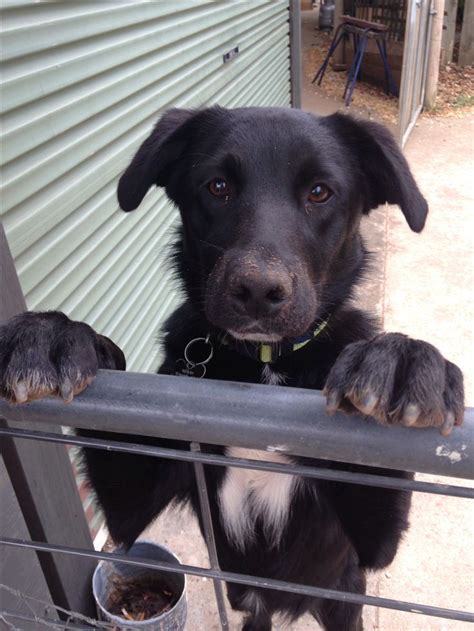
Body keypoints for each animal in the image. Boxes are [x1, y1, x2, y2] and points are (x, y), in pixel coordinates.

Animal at [0, 106, 464, 628]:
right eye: (217, 186)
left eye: (319, 192)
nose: (258, 291)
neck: (266, 367)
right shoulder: (129, 510)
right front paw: (51, 335)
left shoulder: (370, 546)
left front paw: (404, 359)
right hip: (246, 597)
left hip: (343, 596)